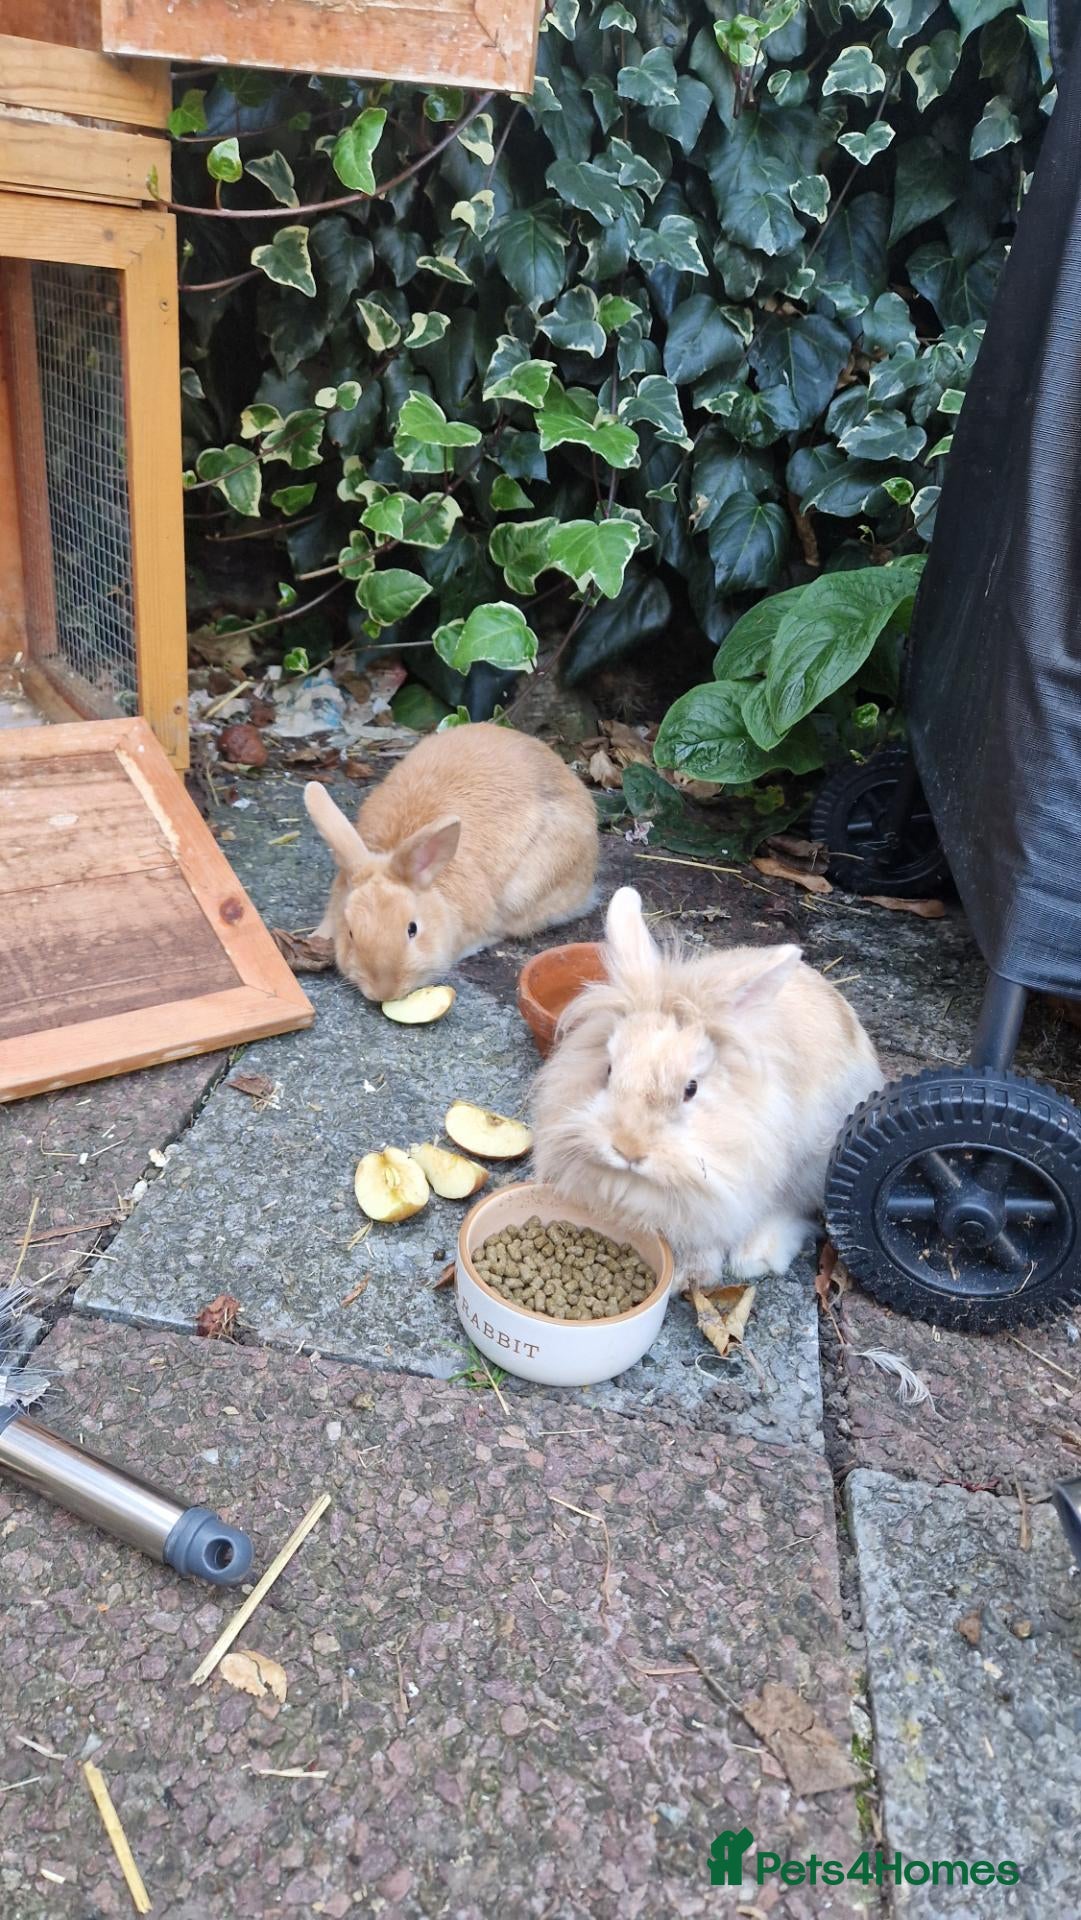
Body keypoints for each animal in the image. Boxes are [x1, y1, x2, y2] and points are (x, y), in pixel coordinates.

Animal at [532, 886, 881, 1289]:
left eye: (691, 1089)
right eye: (608, 1069)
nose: (628, 1150)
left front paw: (693, 1277)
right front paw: (688, 1275)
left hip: (815, 1163)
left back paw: (755, 1255)